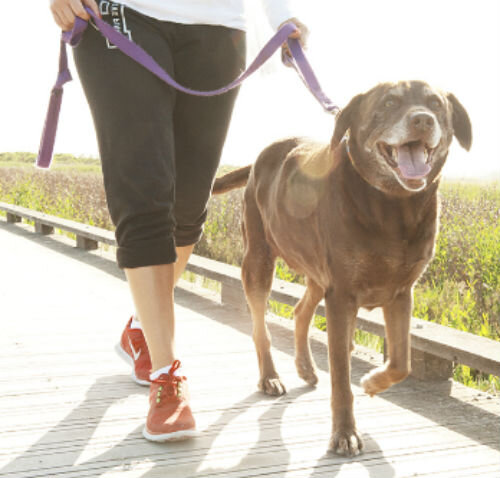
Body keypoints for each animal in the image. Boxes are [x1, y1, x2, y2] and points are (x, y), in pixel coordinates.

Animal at [211, 81, 472, 456]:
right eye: (389, 103)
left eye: (436, 104)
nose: (422, 120)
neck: (394, 207)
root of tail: (261, 157)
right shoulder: (341, 295)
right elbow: (341, 375)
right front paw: (345, 432)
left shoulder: (401, 293)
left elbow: (402, 362)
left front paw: (374, 382)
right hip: (259, 260)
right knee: (261, 326)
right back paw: (270, 376)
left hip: (317, 274)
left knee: (301, 311)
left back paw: (305, 367)